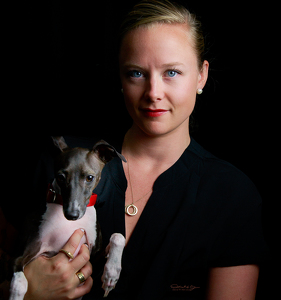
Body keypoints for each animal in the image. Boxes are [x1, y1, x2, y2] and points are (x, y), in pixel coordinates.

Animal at [9, 137, 126, 300]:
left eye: (90, 177)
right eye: (60, 177)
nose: (72, 215)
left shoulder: (92, 260)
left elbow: (118, 236)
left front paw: (111, 273)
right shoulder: (19, 257)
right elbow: (20, 283)